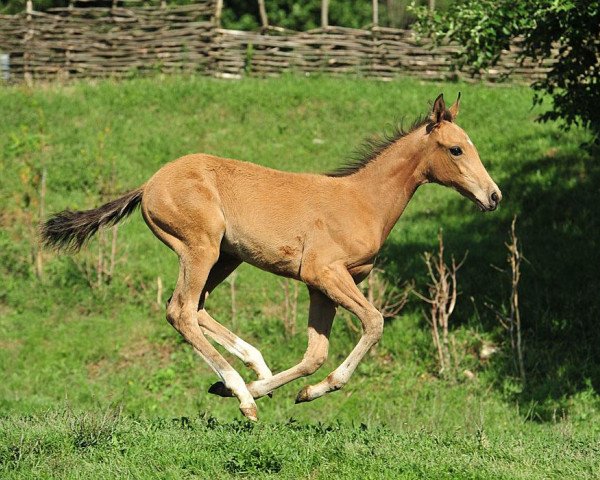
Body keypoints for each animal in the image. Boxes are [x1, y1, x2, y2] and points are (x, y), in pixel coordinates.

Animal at [41, 93, 502, 420]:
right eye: (457, 150)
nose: (494, 196)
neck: (363, 201)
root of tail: (148, 185)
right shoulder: (326, 273)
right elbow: (373, 323)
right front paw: (267, 391)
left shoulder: (320, 287)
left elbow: (314, 355)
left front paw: (297, 392)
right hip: (200, 248)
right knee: (181, 311)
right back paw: (243, 396)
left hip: (225, 258)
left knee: (197, 307)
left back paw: (249, 374)